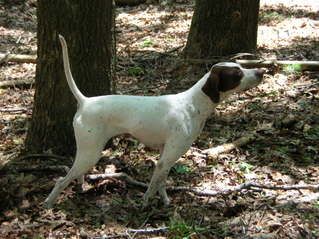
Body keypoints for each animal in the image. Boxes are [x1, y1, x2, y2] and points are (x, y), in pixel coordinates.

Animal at [44, 34, 264, 208]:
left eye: (242, 66)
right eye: (237, 74)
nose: (261, 72)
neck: (193, 104)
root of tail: (85, 101)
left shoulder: (164, 155)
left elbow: (161, 182)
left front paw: (164, 201)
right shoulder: (169, 156)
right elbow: (153, 185)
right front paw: (145, 203)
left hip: (86, 153)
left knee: (75, 175)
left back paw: (80, 187)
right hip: (91, 152)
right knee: (61, 180)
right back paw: (48, 203)